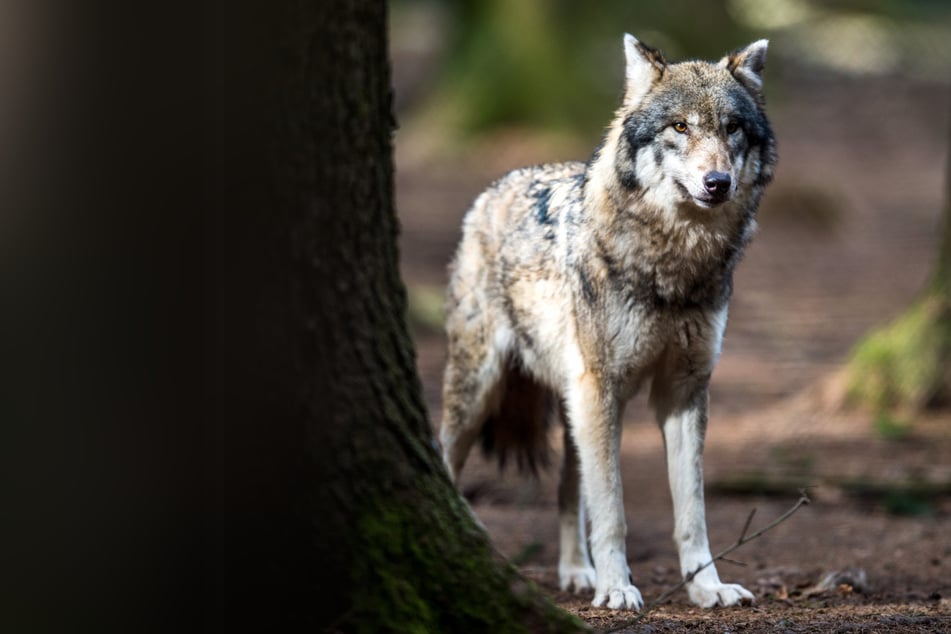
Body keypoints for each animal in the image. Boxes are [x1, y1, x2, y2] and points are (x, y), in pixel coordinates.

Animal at [439, 35, 777, 611]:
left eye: (732, 127)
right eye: (679, 127)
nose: (717, 183)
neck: (673, 266)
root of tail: (496, 187)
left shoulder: (684, 391)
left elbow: (692, 512)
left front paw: (706, 587)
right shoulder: (603, 388)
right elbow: (613, 510)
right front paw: (618, 588)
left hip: (574, 404)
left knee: (566, 490)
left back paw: (578, 572)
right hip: (483, 392)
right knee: (446, 460)